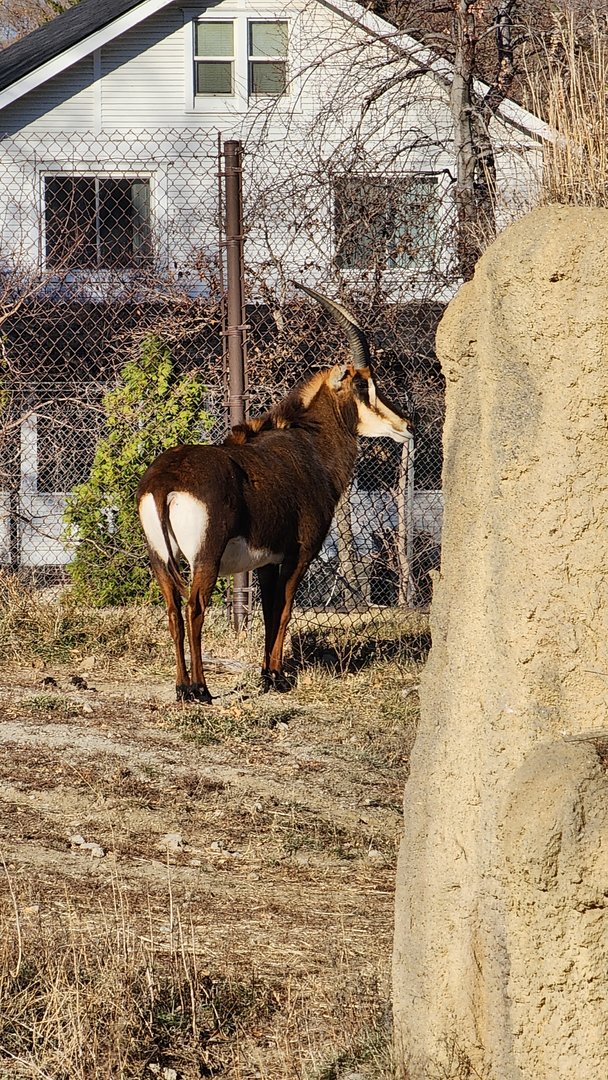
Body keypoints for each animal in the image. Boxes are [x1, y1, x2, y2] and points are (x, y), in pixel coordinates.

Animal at [137, 284, 414, 703]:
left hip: (159, 558)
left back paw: (181, 686)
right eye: (363, 386)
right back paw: (200, 688)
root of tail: (163, 482)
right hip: (205, 557)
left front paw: (267, 675)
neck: (308, 443)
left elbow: (269, 610)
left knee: (171, 610)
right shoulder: (300, 553)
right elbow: (284, 609)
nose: (405, 424)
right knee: (194, 607)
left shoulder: (265, 561)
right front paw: (278, 677)